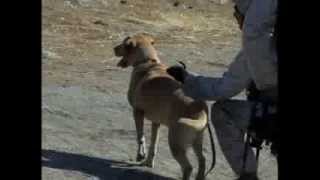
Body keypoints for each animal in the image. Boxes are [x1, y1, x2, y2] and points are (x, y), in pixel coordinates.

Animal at [114, 34, 214, 180]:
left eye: (123, 44)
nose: (114, 48)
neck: (148, 62)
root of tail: (200, 107)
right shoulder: (156, 122)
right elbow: (153, 144)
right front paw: (148, 162)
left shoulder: (137, 112)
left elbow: (140, 137)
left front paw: (140, 155)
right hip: (197, 140)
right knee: (203, 160)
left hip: (175, 143)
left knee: (188, 167)